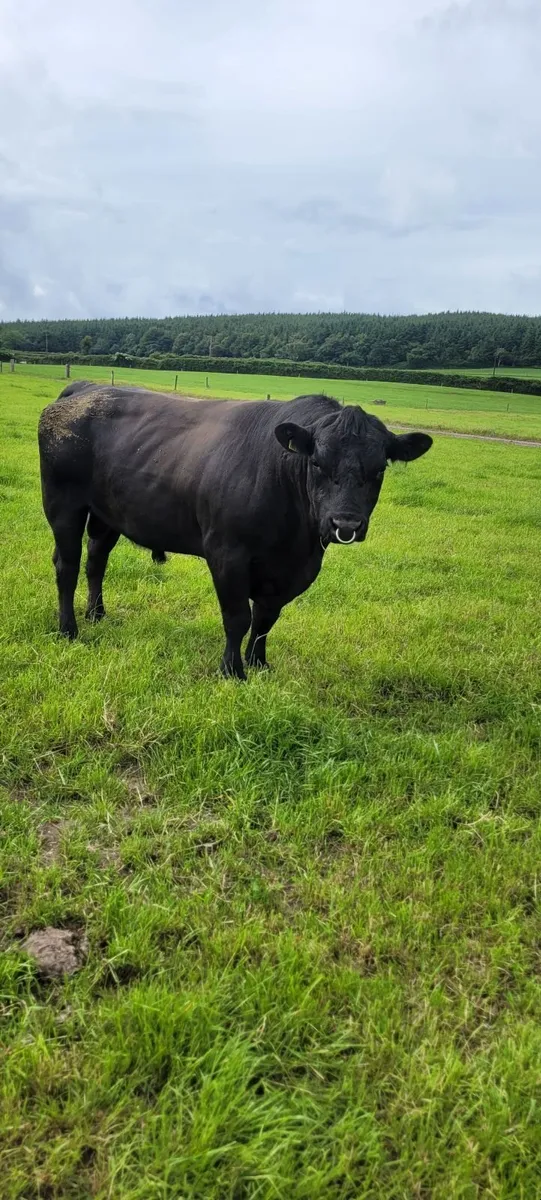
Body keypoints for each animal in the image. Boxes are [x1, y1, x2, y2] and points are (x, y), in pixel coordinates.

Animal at [38, 384, 432, 679]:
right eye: (318, 462)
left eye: (380, 468)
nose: (345, 524)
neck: (294, 541)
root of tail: (87, 388)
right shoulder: (227, 553)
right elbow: (238, 617)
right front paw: (232, 670)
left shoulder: (294, 569)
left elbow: (266, 619)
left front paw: (259, 664)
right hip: (63, 505)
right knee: (67, 565)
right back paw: (69, 629)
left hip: (107, 514)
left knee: (96, 560)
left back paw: (97, 614)